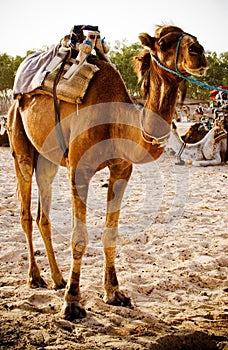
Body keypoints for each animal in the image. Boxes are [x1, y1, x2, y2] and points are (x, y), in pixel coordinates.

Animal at [7, 24, 208, 320]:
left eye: (192, 38)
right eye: (164, 43)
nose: (199, 52)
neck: (117, 119)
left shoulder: (122, 170)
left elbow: (111, 234)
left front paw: (114, 293)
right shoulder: (79, 169)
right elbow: (79, 238)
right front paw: (72, 303)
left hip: (47, 158)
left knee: (43, 214)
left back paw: (57, 278)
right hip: (20, 143)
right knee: (25, 213)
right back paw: (35, 277)